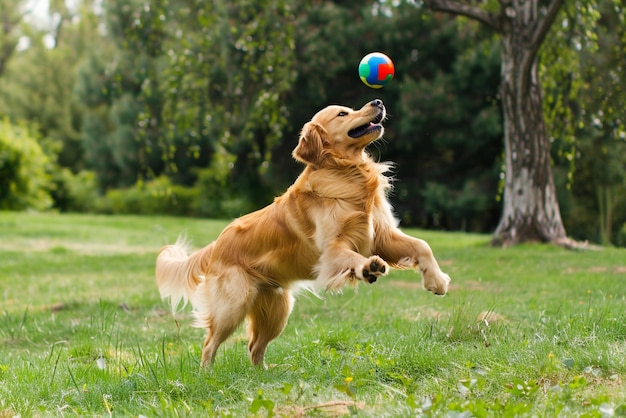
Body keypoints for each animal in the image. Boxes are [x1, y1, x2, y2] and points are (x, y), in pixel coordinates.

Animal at [155, 99, 448, 368]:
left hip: (278, 309)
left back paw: (262, 375)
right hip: (233, 305)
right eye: (343, 114)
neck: (346, 172)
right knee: (209, 343)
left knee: (254, 347)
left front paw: (437, 281)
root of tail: (217, 243)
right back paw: (208, 375)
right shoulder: (332, 249)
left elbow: (422, 245)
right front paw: (368, 267)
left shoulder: (383, 236)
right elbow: (352, 257)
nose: (378, 101)